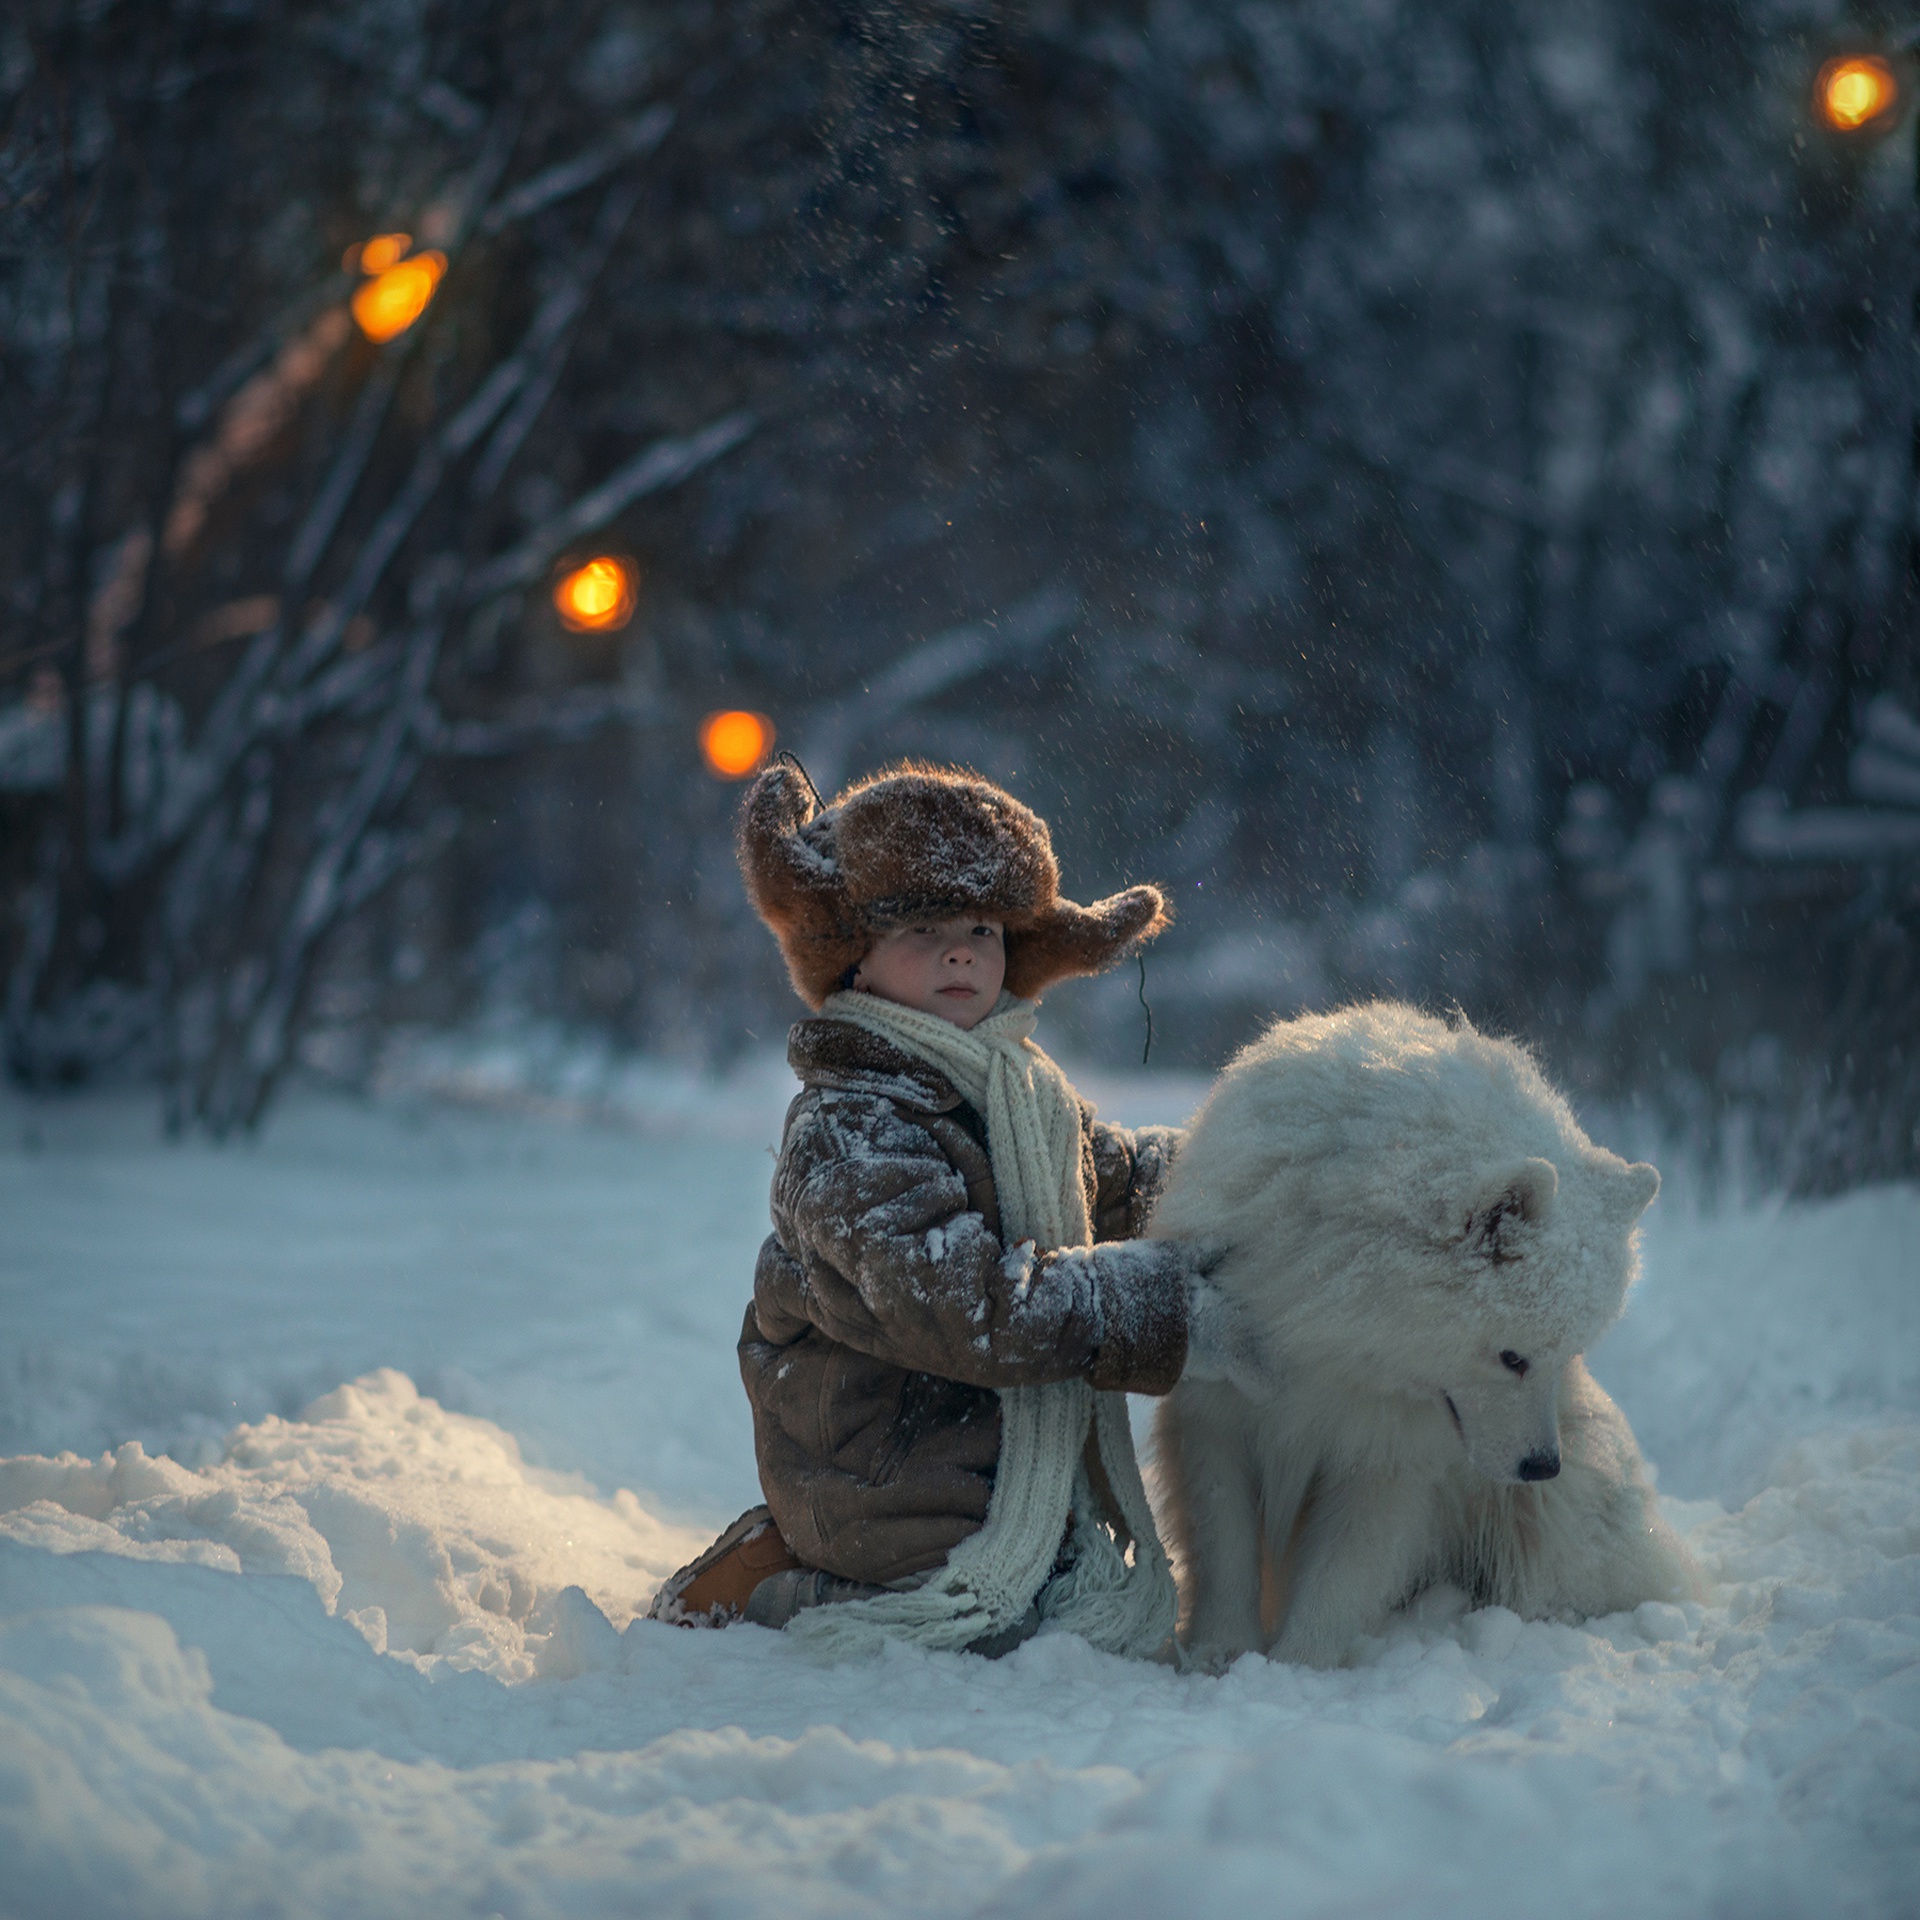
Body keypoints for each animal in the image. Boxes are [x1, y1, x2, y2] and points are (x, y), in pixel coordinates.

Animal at [1144, 1006, 1689, 1666]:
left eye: (1567, 1357)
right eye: (1513, 1357)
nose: (1542, 1466)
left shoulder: (1387, 1450)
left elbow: (1343, 1568)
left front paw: (1298, 1665)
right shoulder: (1219, 1409)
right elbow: (1223, 1539)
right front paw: (1220, 1652)